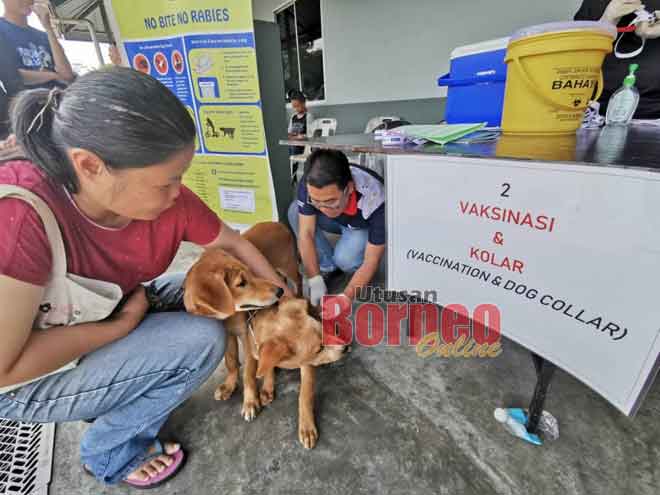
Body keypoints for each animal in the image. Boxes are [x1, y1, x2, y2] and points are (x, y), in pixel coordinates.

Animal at [183, 222, 348, 450]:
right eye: (241, 283)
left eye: (250, 272)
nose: (279, 292)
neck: (229, 315)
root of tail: (276, 223)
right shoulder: (231, 334)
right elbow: (232, 361)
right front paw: (232, 385)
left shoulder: (247, 336)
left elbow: (255, 375)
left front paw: (251, 402)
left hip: (289, 267)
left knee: (298, 280)